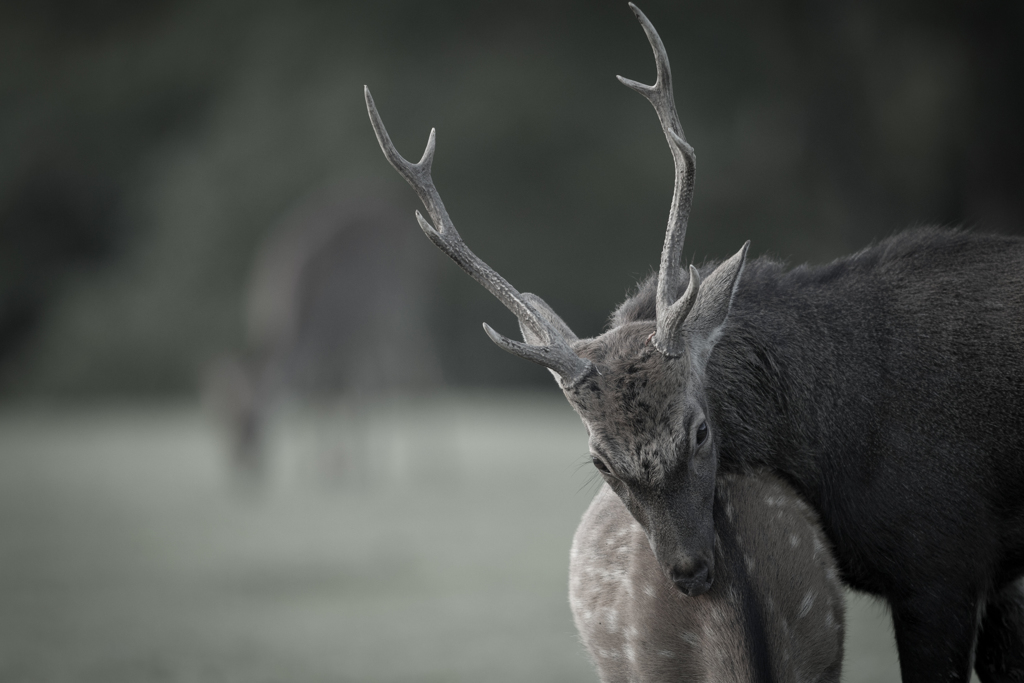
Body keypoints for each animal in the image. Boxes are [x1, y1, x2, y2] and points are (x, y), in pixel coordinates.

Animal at [204, 184, 440, 479]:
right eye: (218, 420)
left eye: (249, 417)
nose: (242, 467)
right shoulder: (329, 344)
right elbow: (316, 395)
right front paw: (317, 469)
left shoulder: (336, 333)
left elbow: (330, 395)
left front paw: (336, 467)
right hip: (376, 326)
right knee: (384, 378)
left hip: (399, 305)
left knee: (419, 364)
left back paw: (431, 465)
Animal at [364, 5, 1024, 683]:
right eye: (600, 461)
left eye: (700, 429)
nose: (689, 571)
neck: (844, 437)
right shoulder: (986, 574)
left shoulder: (942, 561)